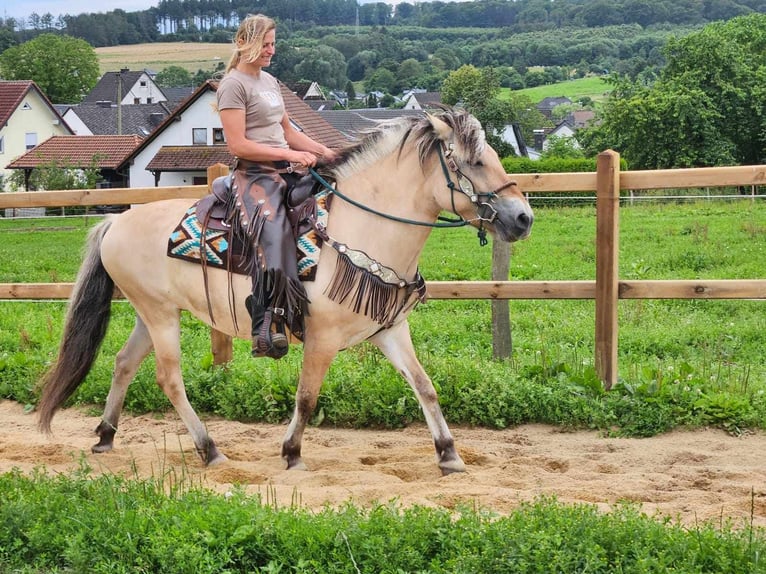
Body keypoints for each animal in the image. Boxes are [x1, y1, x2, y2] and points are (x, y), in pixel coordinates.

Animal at [37, 108, 536, 476]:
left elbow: (425, 387)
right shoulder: (323, 337)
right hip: (160, 315)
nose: (523, 217)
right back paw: (209, 448)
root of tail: (115, 221)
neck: (360, 227)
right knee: (169, 378)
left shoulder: (390, 330)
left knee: (124, 363)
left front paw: (449, 453)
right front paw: (292, 452)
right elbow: (307, 396)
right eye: (474, 162)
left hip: (151, 312)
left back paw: (106, 435)